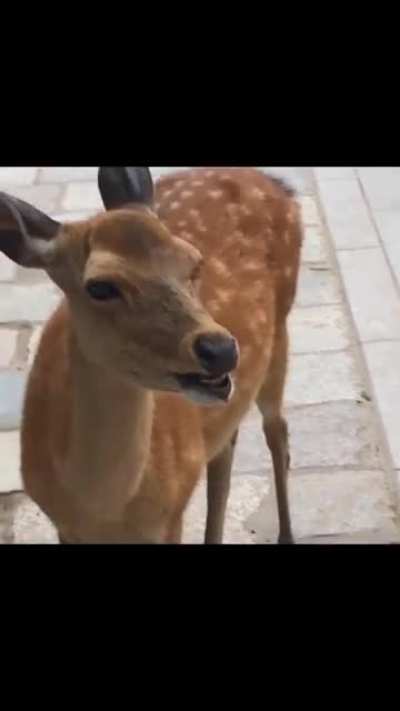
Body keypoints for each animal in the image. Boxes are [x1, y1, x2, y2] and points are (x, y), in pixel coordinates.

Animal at [0, 167, 302, 544]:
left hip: (280, 335)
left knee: (277, 432)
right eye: (100, 286)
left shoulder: (171, 514)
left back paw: (286, 534)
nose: (221, 349)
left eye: (194, 262)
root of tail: (276, 183)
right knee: (228, 444)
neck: (102, 511)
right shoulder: (62, 526)